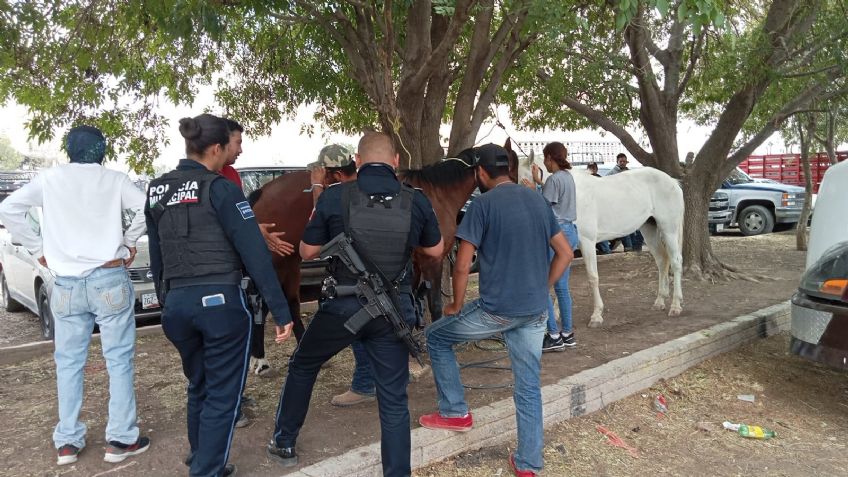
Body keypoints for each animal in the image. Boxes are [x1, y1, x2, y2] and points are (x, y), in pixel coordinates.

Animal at [568, 167, 688, 328]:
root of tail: (673, 181)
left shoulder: (587, 242)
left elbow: (592, 277)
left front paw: (596, 316)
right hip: (649, 230)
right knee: (662, 261)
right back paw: (659, 301)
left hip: (669, 230)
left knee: (676, 262)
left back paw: (675, 306)